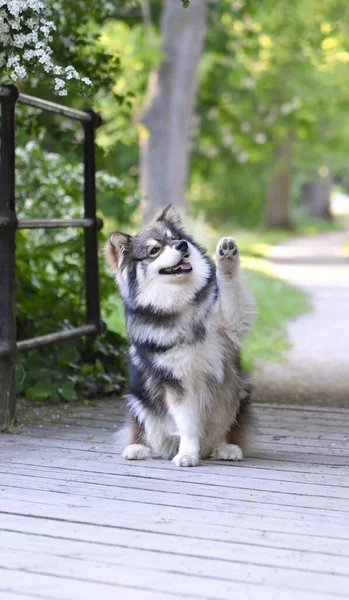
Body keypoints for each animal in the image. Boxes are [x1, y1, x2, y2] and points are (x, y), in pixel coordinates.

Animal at [103, 206, 253, 468]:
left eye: (174, 238)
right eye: (154, 250)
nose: (182, 245)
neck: (181, 303)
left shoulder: (231, 324)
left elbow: (230, 287)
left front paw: (227, 257)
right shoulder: (176, 382)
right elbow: (188, 425)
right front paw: (187, 454)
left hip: (239, 393)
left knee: (225, 431)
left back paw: (226, 447)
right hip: (138, 398)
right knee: (148, 434)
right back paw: (139, 448)